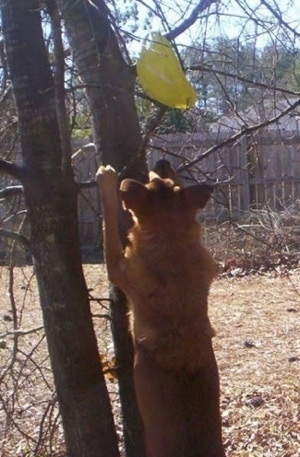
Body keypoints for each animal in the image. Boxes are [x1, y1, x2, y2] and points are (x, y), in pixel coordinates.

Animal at [97, 160, 226, 456]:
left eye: (152, 179)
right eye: (172, 180)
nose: (162, 162)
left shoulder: (117, 267)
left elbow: (109, 217)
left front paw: (105, 180)